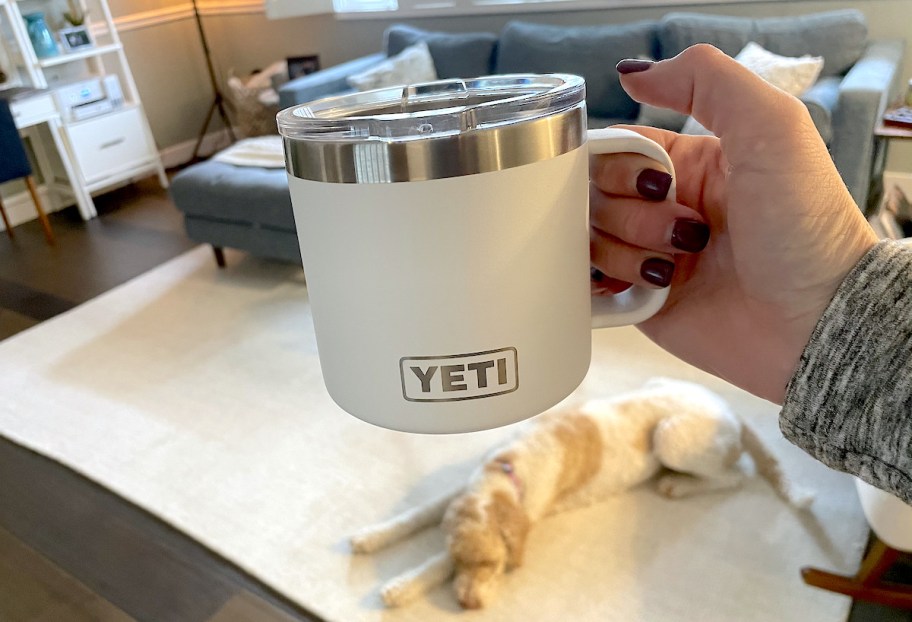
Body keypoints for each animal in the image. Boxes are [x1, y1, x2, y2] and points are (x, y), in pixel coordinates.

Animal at [350, 378, 812, 612]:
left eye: (492, 565)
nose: (470, 606)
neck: (507, 472)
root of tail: (727, 406)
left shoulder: (526, 509)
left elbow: (435, 562)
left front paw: (400, 586)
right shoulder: (465, 486)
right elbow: (416, 514)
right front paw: (371, 537)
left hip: (672, 438)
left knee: (739, 475)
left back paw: (678, 484)